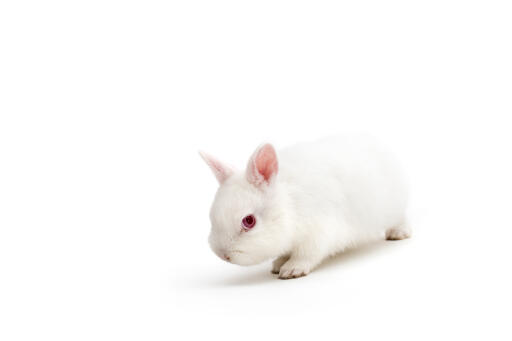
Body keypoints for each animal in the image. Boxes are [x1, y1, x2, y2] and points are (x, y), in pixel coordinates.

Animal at [198, 135, 410, 278]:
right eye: (211, 216)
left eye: (249, 221)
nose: (223, 255)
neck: (290, 206)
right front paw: (278, 263)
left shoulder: (318, 235)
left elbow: (307, 255)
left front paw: (291, 269)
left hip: (396, 209)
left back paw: (398, 234)